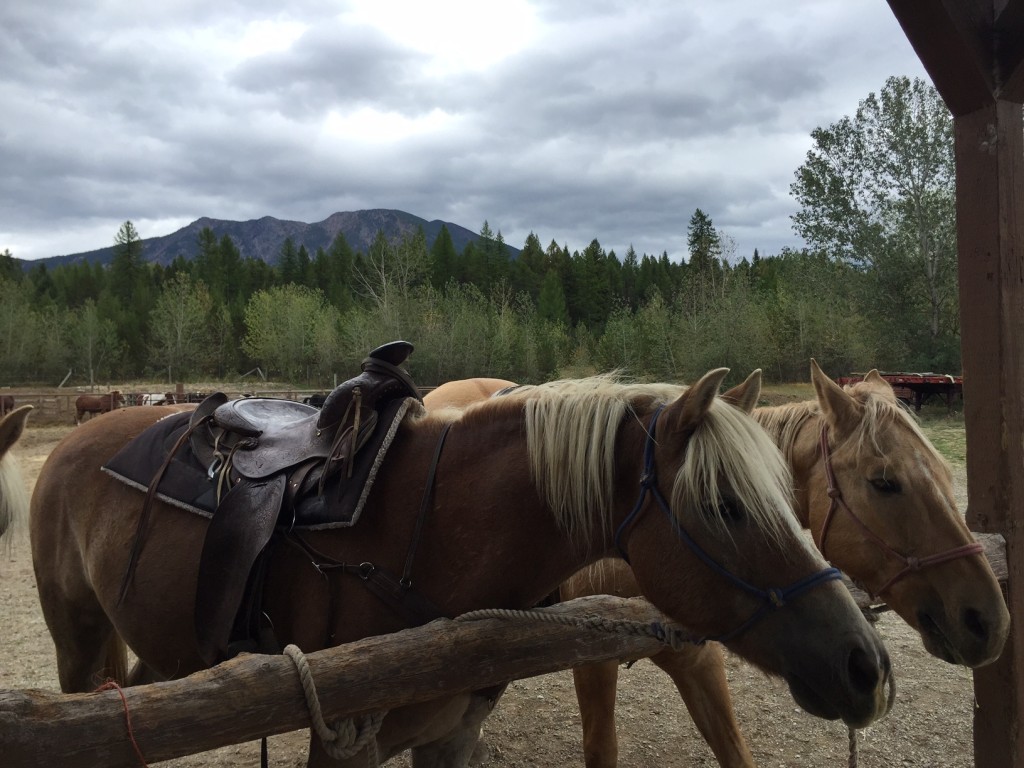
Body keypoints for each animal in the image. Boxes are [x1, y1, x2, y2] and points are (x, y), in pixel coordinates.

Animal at [29, 370, 897, 765]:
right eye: (724, 505)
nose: (866, 666)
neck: (432, 538)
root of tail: (77, 438)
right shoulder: (344, 742)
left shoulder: (449, 735)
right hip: (77, 645)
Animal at [425, 364, 1007, 768]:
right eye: (884, 482)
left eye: (944, 473)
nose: (988, 621)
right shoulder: (591, 663)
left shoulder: (700, 661)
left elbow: (734, 751)